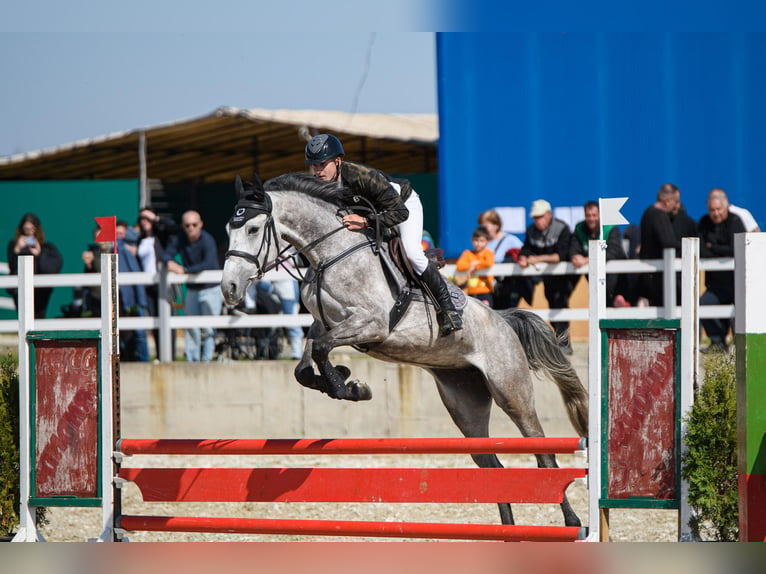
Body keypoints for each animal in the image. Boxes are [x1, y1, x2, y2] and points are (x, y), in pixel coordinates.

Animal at [219, 172, 592, 532]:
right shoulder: (324, 323)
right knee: (491, 466)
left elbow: (323, 350)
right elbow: (305, 365)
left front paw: (348, 387)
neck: (329, 253)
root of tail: (503, 320)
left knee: (544, 456)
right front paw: (343, 380)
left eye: (253, 229)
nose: (229, 289)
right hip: (465, 403)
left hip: (511, 392)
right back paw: (509, 529)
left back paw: (572, 523)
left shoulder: (372, 324)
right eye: (228, 230)